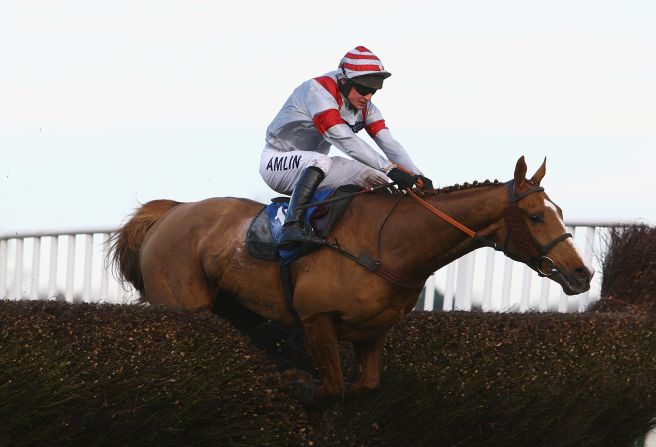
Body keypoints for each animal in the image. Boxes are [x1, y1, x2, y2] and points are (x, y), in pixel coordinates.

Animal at [110, 157, 592, 402]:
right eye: (535, 216)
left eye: (560, 212)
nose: (581, 273)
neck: (390, 243)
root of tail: (170, 212)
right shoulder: (316, 320)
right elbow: (332, 387)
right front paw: (295, 381)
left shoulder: (370, 333)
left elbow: (365, 384)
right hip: (183, 305)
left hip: (235, 309)